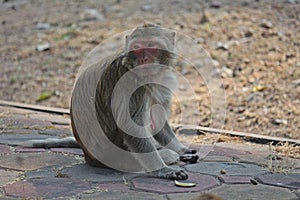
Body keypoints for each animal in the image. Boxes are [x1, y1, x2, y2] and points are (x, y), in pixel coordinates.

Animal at [18, 23, 198, 180]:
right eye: (137, 48)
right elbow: (131, 127)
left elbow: (158, 121)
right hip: (118, 157)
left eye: (152, 46)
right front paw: (163, 170)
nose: (144, 59)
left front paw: (182, 150)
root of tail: (88, 156)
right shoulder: (131, 84)